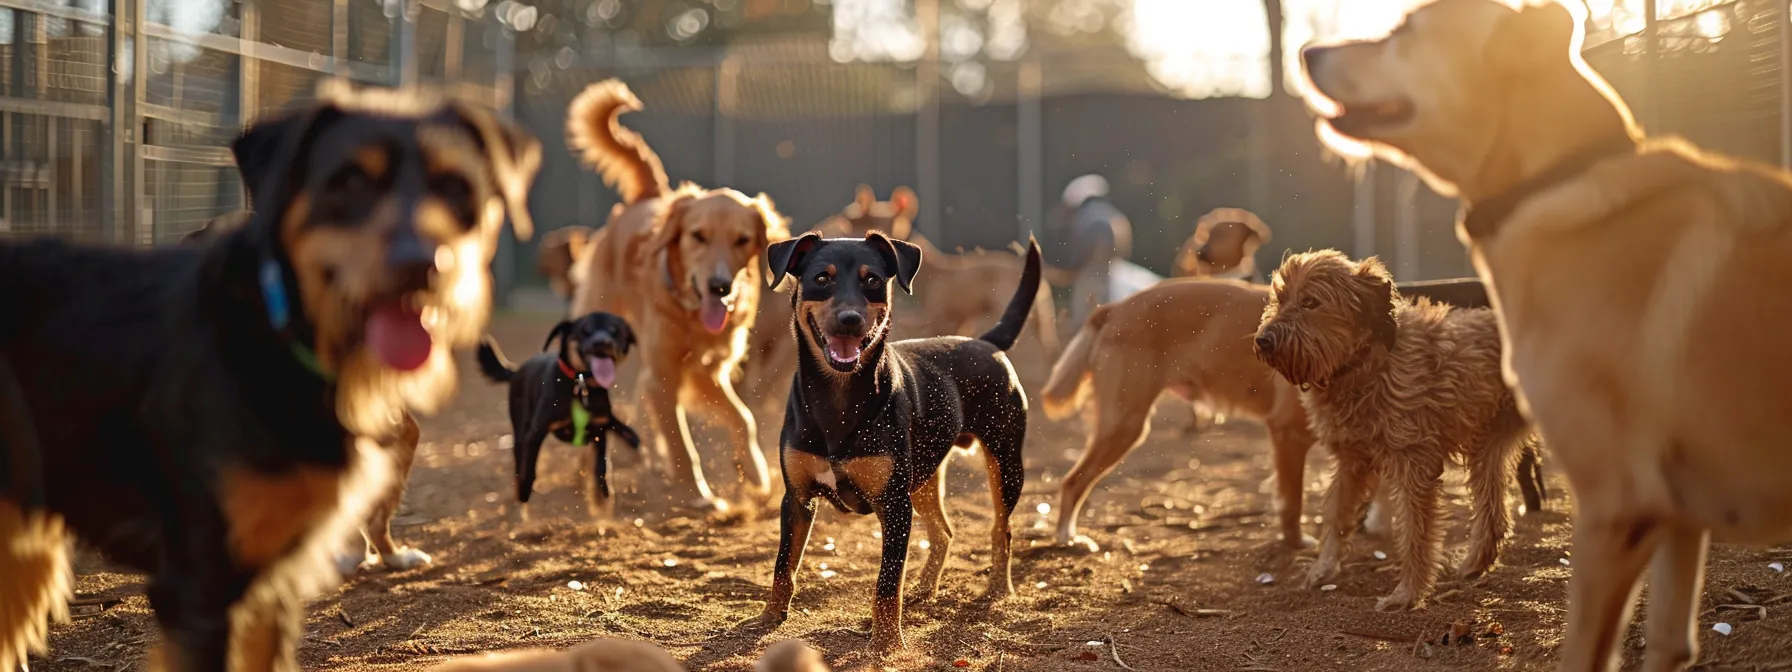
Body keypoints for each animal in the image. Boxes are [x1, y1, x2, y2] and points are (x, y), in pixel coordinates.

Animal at [476, 315, 645, 516]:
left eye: (615, 331)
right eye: (585, 330)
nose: (603, 343)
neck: (580, 384)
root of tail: (515, 370)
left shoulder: (600, 429)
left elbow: (602, 466)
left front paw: (602, 500)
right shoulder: (535, 433)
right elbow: (529, 469)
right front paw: (525, 494)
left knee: (621, 428)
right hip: (520, 430)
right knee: (519, 463)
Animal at [752, 231, 1039, 652]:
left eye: (872, 280)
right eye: (822, 278)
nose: (850, 320)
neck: (839, 397)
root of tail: (988, 343)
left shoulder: (894, 505)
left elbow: (887, 582)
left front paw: (887, 643)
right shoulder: (797, 498)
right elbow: (783, 564)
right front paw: (769, 617)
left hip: (1004, 463)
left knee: (1001, 529)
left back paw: (999, 590)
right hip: (923, 476)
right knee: (943, 533)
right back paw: (922, 590)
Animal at [1254, 250, 1533, 612]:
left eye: (1310, 302)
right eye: (1280, 298)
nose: (1262, 340)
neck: (1360, 365)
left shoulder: (1414, 463)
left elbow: (1416, 533)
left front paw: (1408, 594)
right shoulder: (1351, 460)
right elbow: (1337, 515)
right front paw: (1323, 569)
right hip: (1489, 447)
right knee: (1494, 511)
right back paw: (1475, 564)